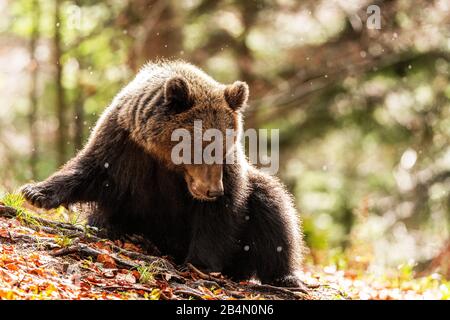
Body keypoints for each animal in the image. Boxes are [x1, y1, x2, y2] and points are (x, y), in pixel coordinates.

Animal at [19, 60, 304, 288]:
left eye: (225, 147)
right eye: (202, 146)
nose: (213, 190)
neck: (163, 158)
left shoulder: (228, 176)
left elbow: (219, 216)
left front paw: (200, 263)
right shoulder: (123, 140)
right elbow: (92, 169)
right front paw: (36, 192)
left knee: (272, 207)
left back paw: (286, 278)